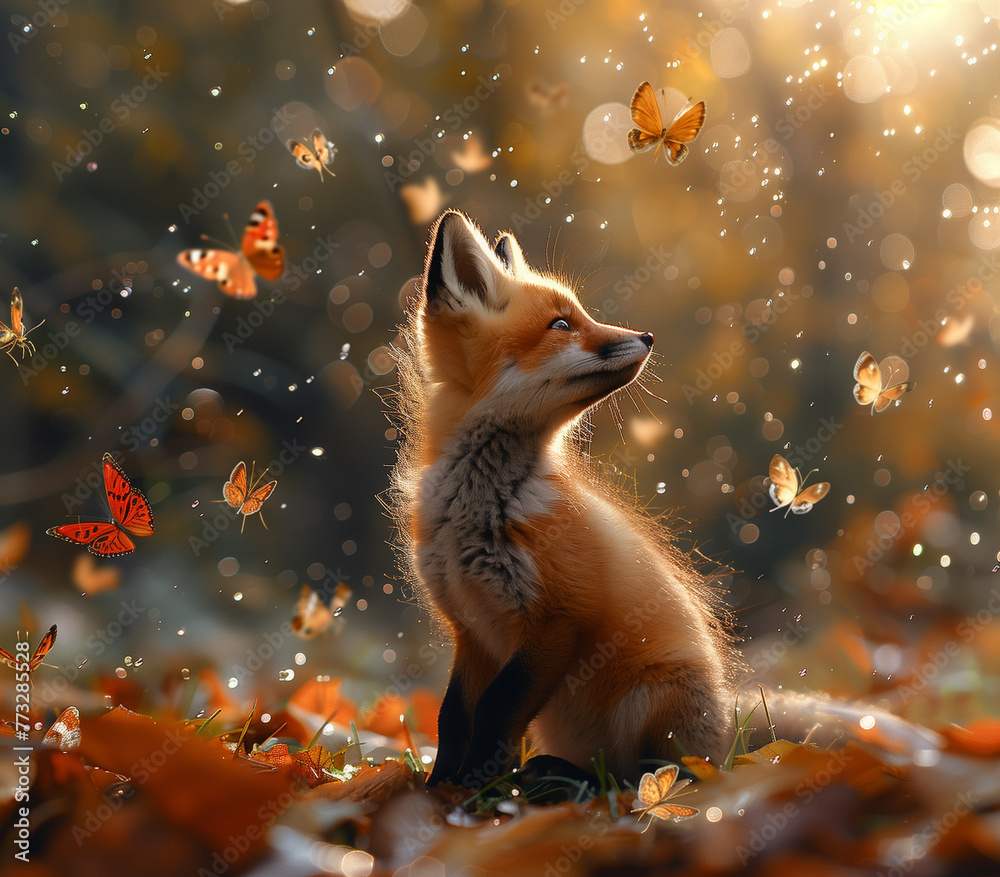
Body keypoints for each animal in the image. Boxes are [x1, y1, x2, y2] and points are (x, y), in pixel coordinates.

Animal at [391, 211, 942, 789]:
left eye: (581, 315)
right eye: (561, 325)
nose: (646, 336)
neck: (482, 506)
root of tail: (724, 732)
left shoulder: (557, 620)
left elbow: (495, 712)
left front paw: (478, 790)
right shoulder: (471, 628)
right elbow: (453, 717)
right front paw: (439, 789)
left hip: (651, 700)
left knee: (653, 778)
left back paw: (572, 784)